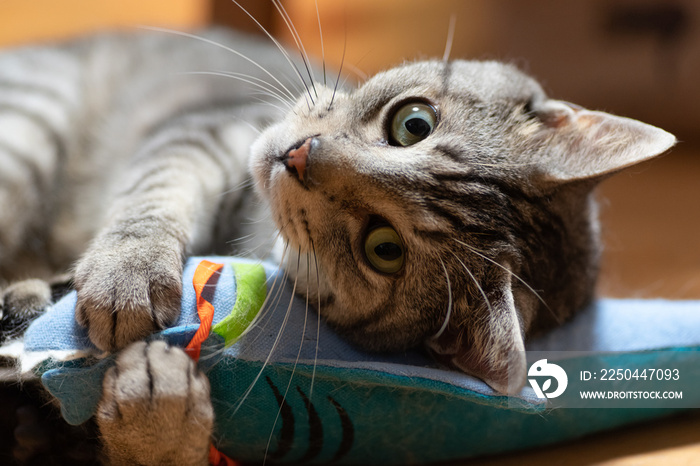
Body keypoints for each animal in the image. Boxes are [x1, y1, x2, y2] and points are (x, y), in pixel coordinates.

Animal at [0, 23, 672, 464]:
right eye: (413, 123)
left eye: (384, 248)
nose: (300, 155)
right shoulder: (208, 134)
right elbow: (154, 194)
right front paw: (129, 272)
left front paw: (159, 418)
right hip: (28, 131)